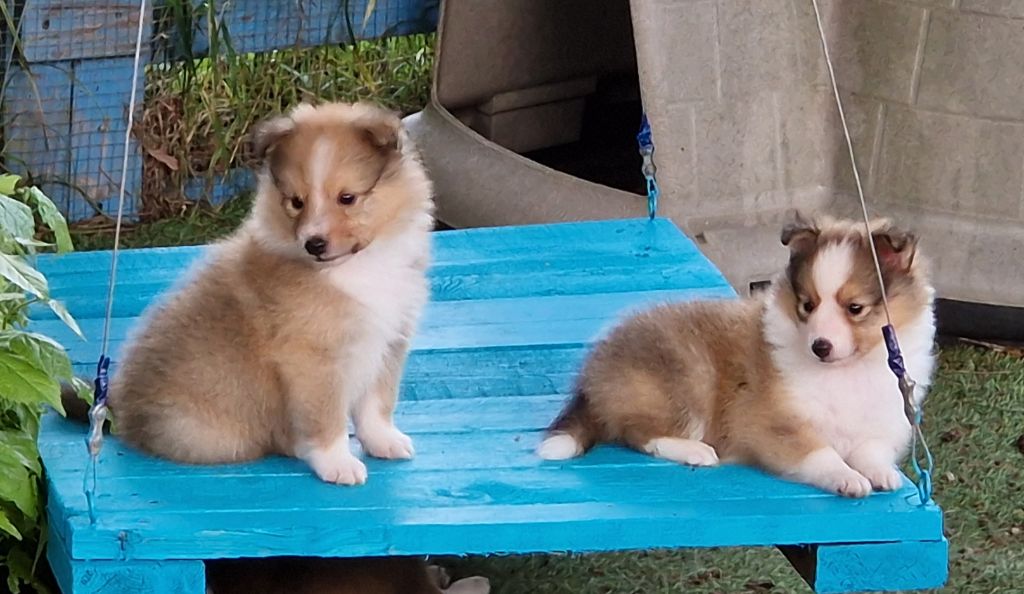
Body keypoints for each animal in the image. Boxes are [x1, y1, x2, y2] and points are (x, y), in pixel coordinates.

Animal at [105, 100, 434, 483]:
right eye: (296, 201)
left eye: (347, 198)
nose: (313, 244)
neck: (358, 267)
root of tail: (123, 412)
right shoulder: (312, 359)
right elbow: (326, 417)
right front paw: (337, 463)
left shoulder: (389, 339)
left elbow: (376, 404)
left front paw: (384, 441)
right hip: (218, 434)